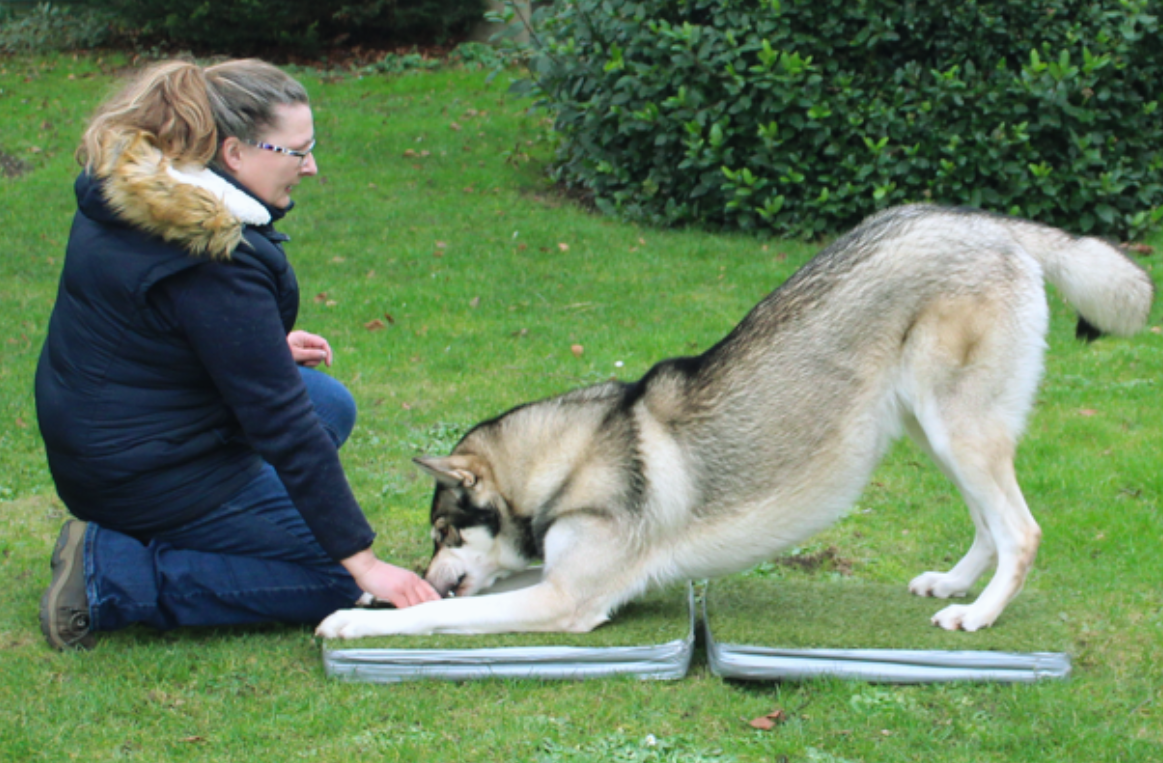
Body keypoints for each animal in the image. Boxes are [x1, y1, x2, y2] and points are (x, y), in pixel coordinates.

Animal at [316, 202, 1153, 637]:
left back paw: (976, 615)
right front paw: (376, 598)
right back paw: (952, 583)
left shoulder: (565, 600)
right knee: (988, 522)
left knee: (1021, 529)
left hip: (957, 429)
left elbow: (434, 619)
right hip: (932, 430)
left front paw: (362, 620)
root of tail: (988, 222)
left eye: (442, 533)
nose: (424, 572)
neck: (569, 461)